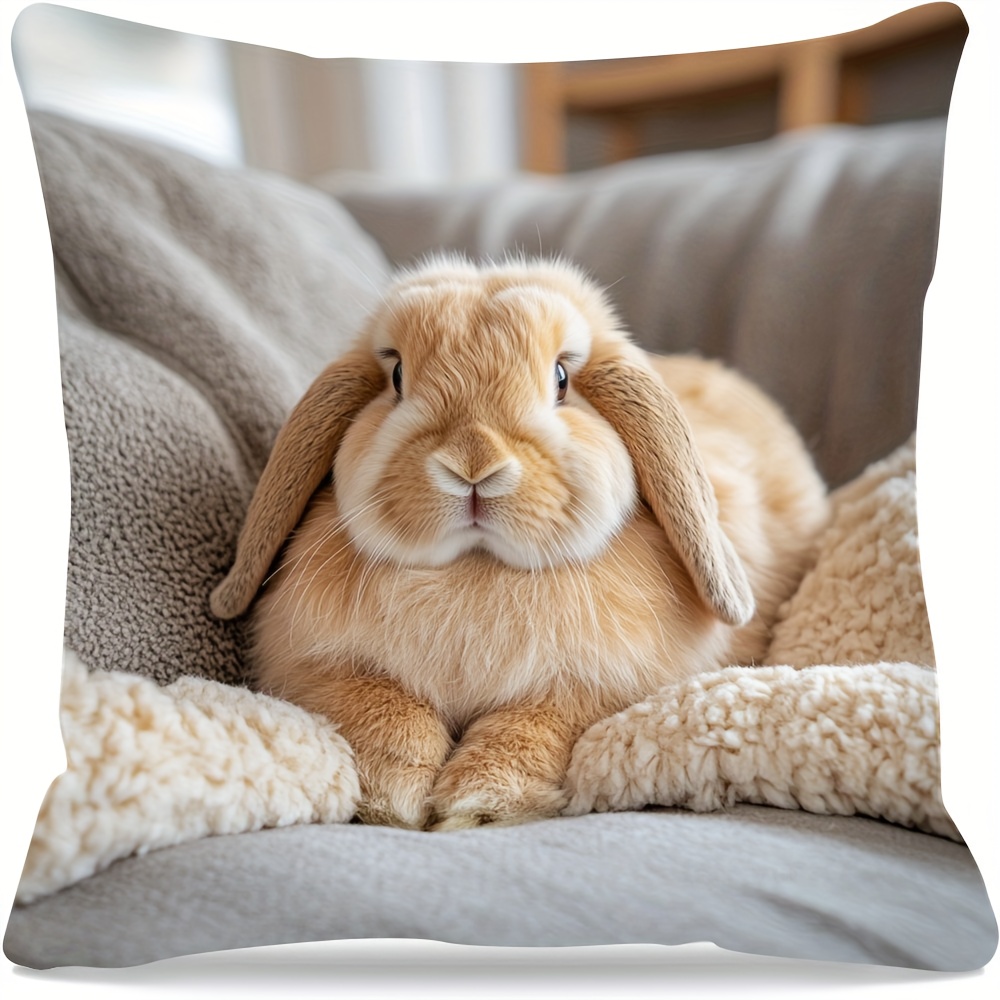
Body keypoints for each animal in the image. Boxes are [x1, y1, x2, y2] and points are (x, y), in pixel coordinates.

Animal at [211, 255, 829, 831]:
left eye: (561, 379)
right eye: (396, 377)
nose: (473, 463)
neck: (475, 568)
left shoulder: (598, 691)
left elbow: (531, 727)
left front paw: (477, 802)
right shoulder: (315, 666)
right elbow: (381, 707)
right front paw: (393, 796)